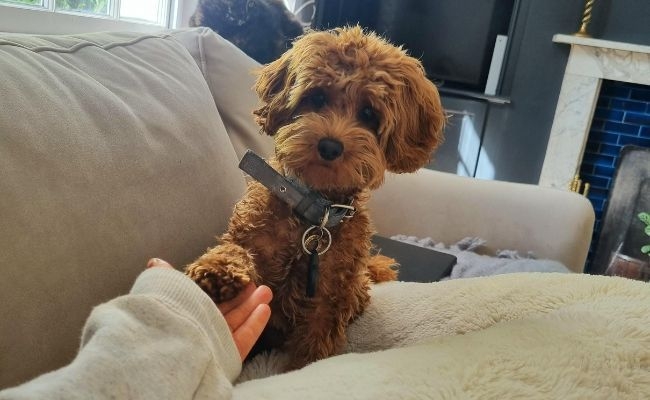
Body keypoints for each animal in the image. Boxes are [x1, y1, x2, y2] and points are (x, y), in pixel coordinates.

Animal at [185, 25, 442, 372]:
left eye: (369, 114)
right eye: (317, 98)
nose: (330, 146)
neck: (313, 210)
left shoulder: (328, 297)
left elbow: (313, 348)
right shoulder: (255, 239)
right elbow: (234, 247)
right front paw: (217, 267)